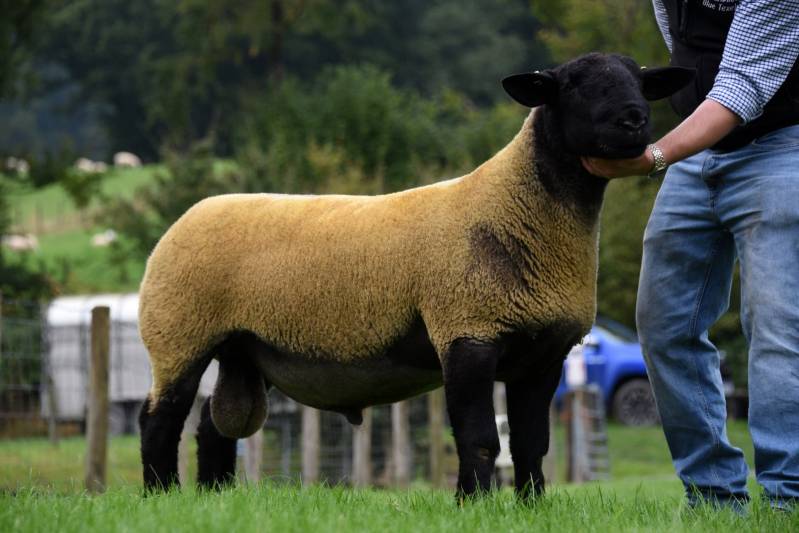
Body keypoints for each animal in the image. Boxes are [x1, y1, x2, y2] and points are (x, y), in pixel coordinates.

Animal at [139, 53, 692, 498]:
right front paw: (475, 505)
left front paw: (531, 507)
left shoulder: (543, 353)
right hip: (179, 333)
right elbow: (479, 439)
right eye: (574, 84)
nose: (634, 119)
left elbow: (531, 443)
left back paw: (213, 498)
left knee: (213, 428)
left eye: (639, 80)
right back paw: (160, 495)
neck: (511, 209)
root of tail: (191, 214)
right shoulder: (466, 331)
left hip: (241, 349)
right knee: (159, 420)